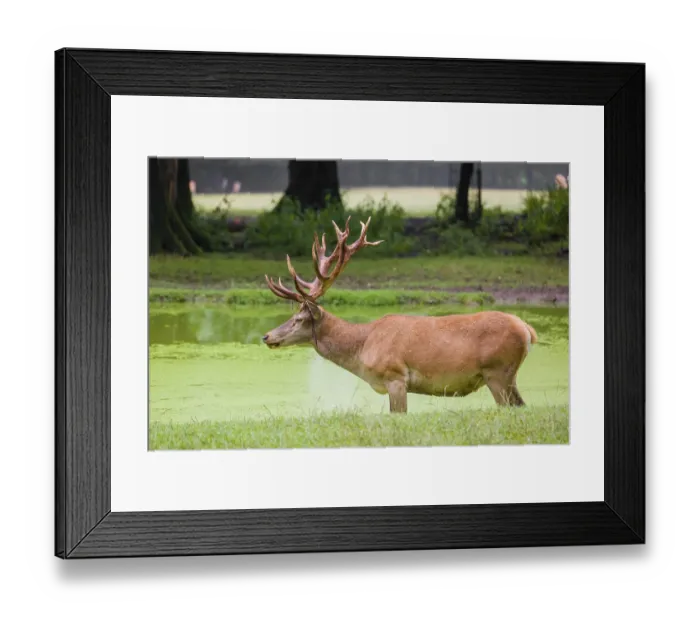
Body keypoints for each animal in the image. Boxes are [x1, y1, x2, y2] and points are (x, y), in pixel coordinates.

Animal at [262, 217, 538, 413]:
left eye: (298, 320)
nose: (266, 336)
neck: (363, 348)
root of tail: (527, 330)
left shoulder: (395, 377)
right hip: (505, 375)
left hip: (498, 371)